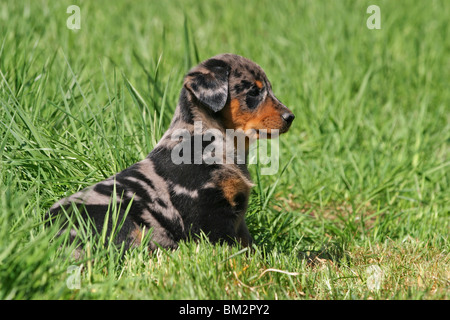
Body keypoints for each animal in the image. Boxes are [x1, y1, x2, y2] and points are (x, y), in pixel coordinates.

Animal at [49, 53, 294, 251]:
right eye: (254, 91)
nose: (290, 117)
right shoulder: (210, 214)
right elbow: (230, 250)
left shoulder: (237, 219)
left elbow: (248, 244)